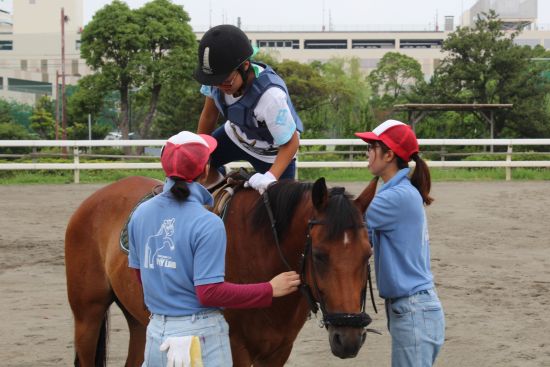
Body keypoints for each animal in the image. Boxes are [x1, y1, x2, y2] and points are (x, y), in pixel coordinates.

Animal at [66, 175, 380, 366]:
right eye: (319, 255)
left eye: (368, 253)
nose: (348, 338)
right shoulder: (235, 348)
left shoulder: (279, 350)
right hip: (88, 316)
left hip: (139, 322)